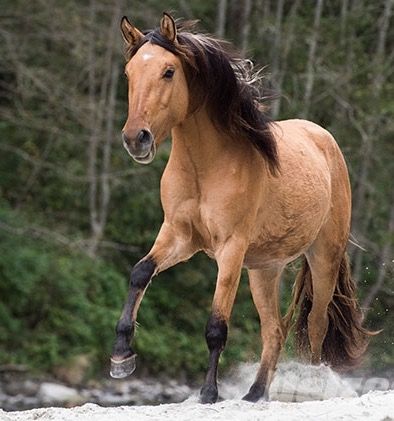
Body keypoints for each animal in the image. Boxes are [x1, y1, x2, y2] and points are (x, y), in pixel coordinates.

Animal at [108, 11, 372, 402]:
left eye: (168, 71)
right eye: (129, 74)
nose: (135, 139)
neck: (206, 166)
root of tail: (325, 140)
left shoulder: (230, 248)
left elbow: (217, 325)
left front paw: (208, 393)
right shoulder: (179, 236)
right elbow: (140, 272)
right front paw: (121, 357)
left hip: (323, 256)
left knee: (316, 325)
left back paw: (308, 387)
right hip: (264, 270)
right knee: (275, 331)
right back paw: (255, 393)